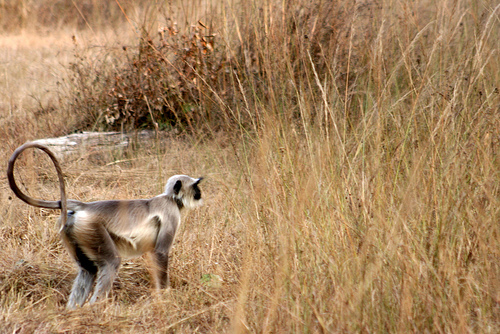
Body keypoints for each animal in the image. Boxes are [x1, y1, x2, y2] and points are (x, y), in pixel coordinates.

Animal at [6, 142, 202, 310]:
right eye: (195, 187)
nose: (200, 193)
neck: (170, 198)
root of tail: (86, 207)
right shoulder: (170, 212)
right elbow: (160, 253)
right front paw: (167, 299)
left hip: (74, 229)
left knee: (88, 269)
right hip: (91, 228)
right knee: (111, 262)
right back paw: (95, 310)